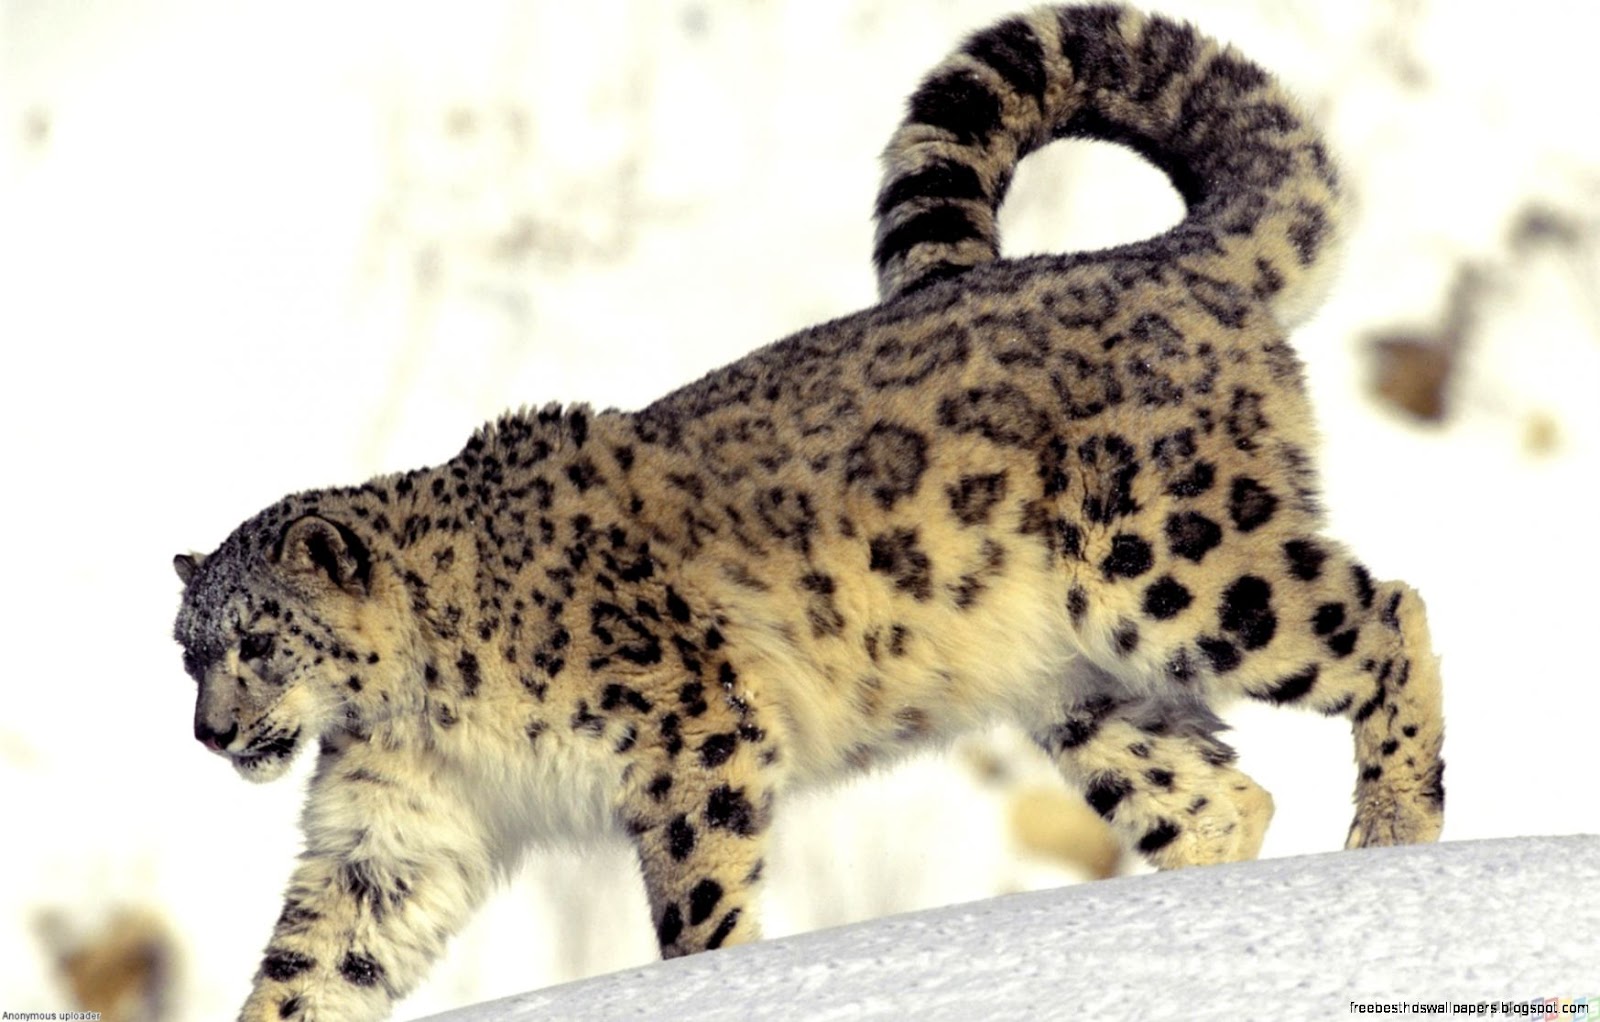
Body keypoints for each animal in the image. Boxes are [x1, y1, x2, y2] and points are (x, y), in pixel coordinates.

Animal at [171, 5, 1445, 1019]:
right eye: (185, 650)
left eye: (257, 638)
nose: (210, 733)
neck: (418, 708)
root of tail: (1169, 258)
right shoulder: (393, 827)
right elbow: (313, 960)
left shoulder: (687, 731)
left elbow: (695, 892)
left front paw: (713, 984)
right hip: (1082, 683)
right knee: (1218, 793)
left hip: (1175, 562)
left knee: (1386, 612)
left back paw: (1389, 828)